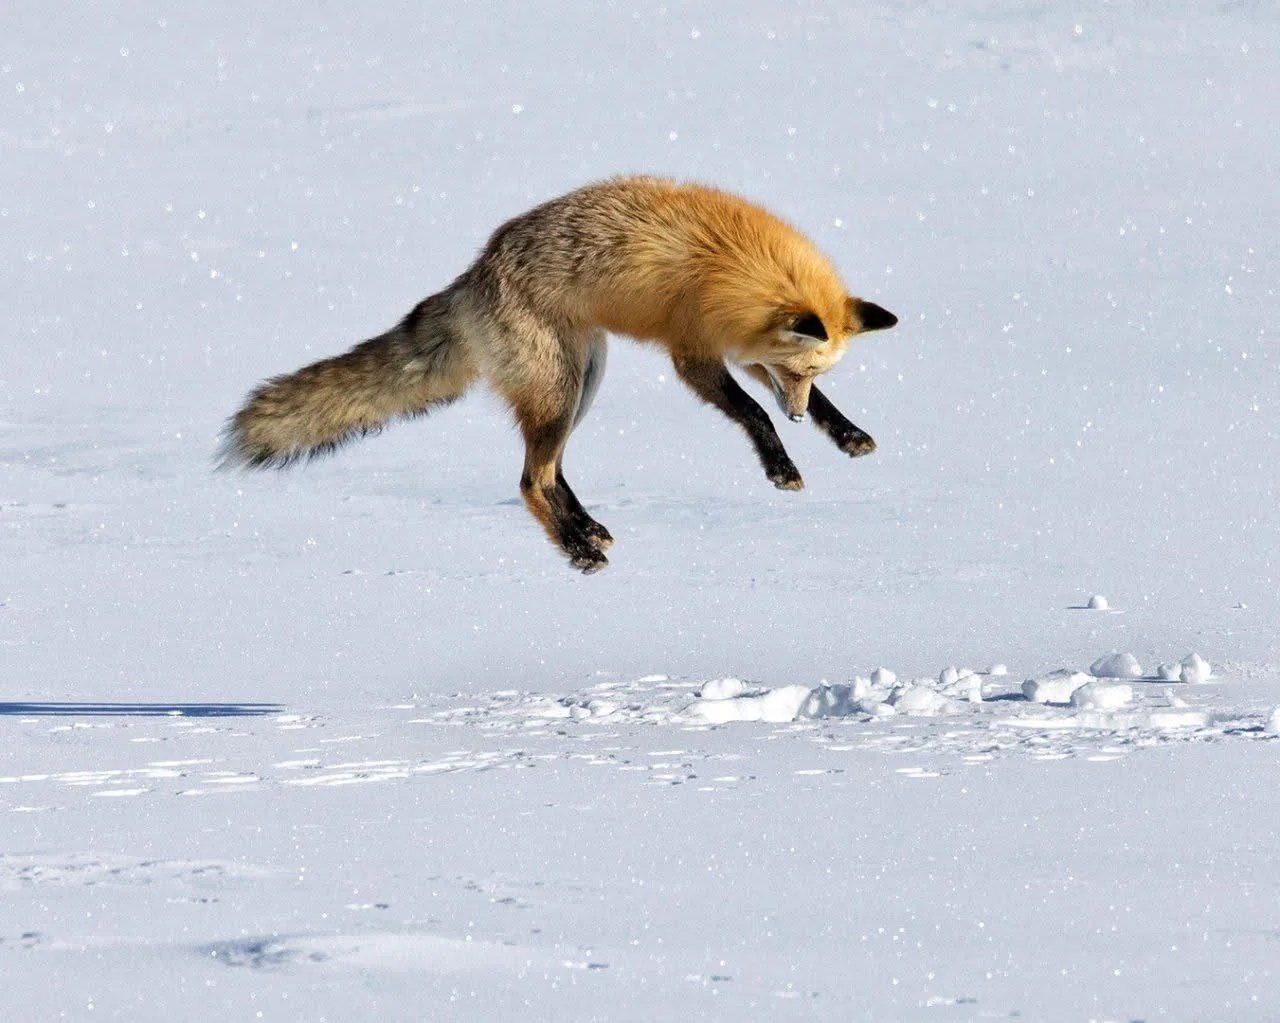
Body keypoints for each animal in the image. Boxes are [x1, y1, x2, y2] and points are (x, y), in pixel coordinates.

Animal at [219, 176, 898, 572]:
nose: (797, 414)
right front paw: (781, 465)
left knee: (550, 471)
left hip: (582, 381)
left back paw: (587, 529)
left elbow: (798, 401)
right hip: (560, 387)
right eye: (798, 369)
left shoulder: (744, 346)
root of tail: (474, 273)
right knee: (529, 481)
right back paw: (577, 549)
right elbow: (752, 413)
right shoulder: (695, 353)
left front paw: (844, 433)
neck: (731, 263)